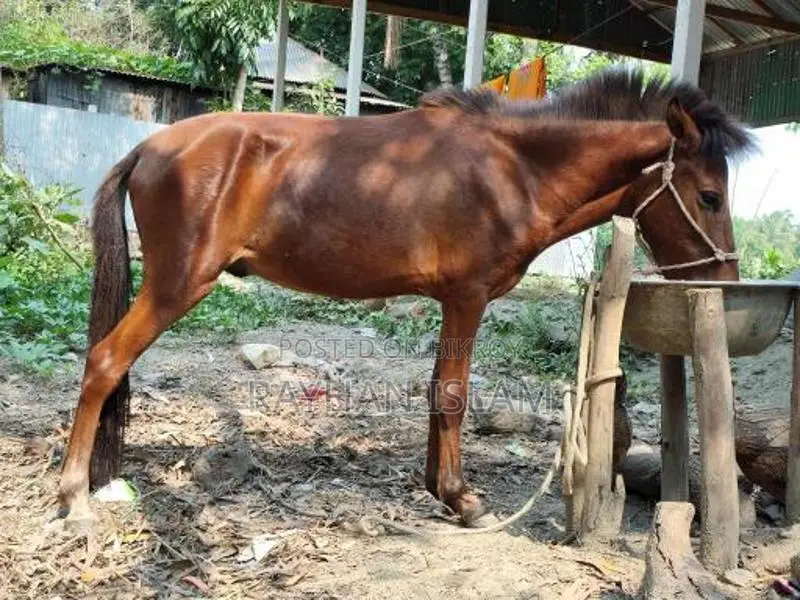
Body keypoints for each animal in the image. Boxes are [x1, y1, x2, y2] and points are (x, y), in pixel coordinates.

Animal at [57, 67, 755, 528]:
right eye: (709, 196)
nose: (725, 284)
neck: (515, 169)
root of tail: (148, 146)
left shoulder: (449, 303)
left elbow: (435, 393)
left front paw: (433, 487)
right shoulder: (468, 298)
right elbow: (452, 395)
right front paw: (461, 497)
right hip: (176, 285)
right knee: (104, 362)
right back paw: (73, 493)